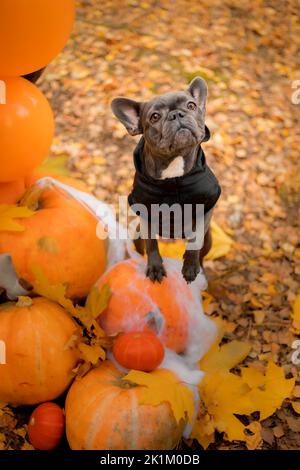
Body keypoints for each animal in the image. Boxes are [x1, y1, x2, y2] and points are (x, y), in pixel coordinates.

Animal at [111, 77, 221, 282]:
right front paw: (155, 267)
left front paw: (190, 267)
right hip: (137, 235)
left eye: (191, 105)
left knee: (202, 252)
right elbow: (151, 244)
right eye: (155, 117)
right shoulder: (145, 213)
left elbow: (195, 240)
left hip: (209, 240)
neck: (174, 171)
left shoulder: (205, 207)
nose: (176, 114)